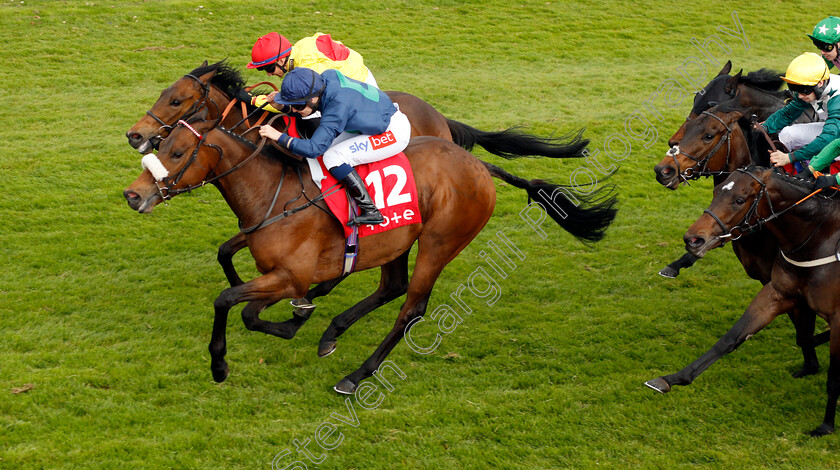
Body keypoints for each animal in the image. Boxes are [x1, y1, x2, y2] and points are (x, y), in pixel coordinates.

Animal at [120, 116, 616, 392]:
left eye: (178, 152)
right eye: (161, 146)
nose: (133, 195)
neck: (273, 195)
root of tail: (477, 164)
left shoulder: (288, 274)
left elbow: (230, 303)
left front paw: (221, 364)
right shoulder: (275, 271)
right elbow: (245, 297)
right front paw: (299, 316)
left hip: (439, 242)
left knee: (412, 308)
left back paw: (356, 375)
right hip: (399, 239)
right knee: (392, 287)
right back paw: (331, 333)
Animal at [648, 166, 840, 436]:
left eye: (739, 200)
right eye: (717, 191)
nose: (693, 239)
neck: (817, 239)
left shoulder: (837, 317)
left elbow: (833, 376)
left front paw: (826, 425)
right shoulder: (778, 293)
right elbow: (731, 338)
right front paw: (670, 379)